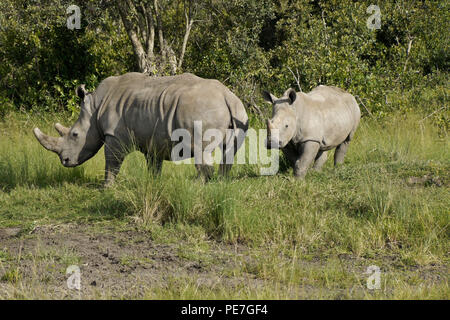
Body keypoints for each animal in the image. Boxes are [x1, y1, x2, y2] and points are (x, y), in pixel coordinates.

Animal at [33, 72, 248, 185]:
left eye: (75, 134)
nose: (65, 161)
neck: (94, 108)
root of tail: (226, 95)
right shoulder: (154, 139)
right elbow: (153, 164)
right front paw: (153, 184)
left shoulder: (114, 134)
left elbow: (112, 160)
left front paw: (107, 187)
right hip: (239, 111)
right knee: (229, 152)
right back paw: (221, 183)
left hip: (201, 110)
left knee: (202, 150)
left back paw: (196, 185)